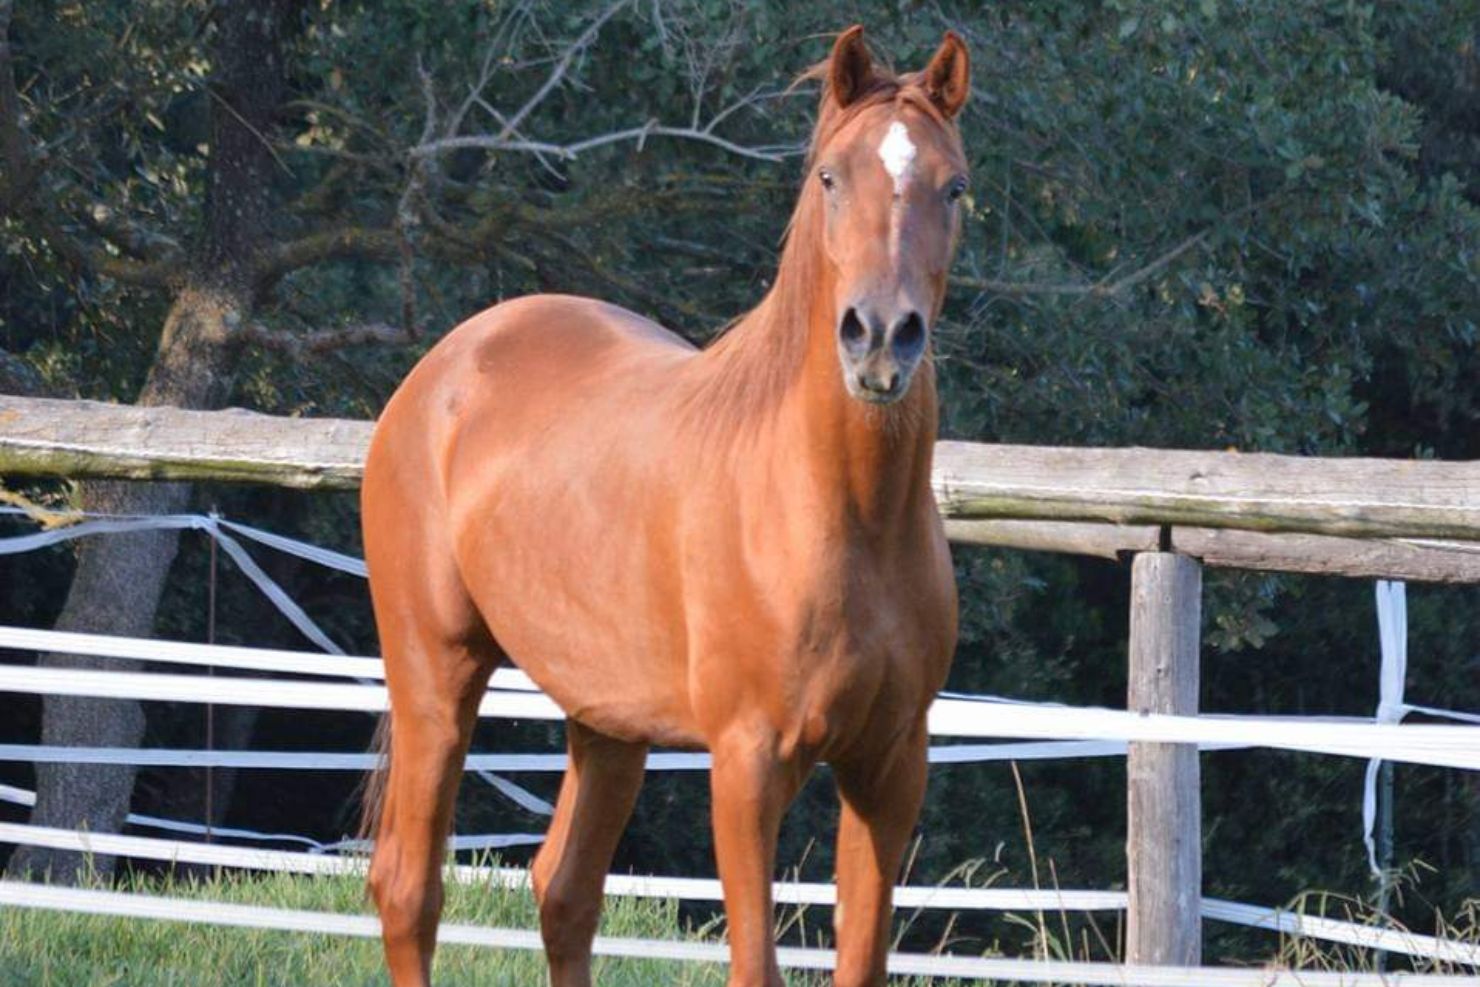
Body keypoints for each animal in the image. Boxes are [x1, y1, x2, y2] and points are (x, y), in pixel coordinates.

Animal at [360, 25, 970, 987]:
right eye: (830, 177)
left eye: (953, 186)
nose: (879, 338)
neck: (844, 514)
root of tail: (441, 371)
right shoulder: (748, 762)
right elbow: (754, 963)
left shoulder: (890, 764)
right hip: (435, 673)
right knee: (409, 887)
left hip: (604, 720)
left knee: (564, 891)